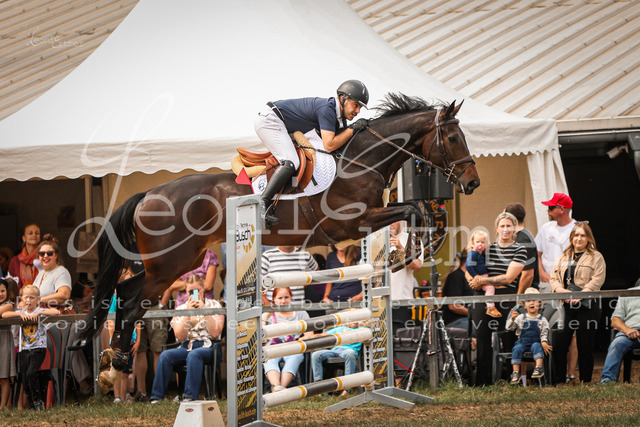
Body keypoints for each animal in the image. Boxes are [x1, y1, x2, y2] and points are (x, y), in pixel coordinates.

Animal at [83, 93, 480, 373]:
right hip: (168, 264)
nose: (473, 183)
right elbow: (413, 210)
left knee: (126, 292)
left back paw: (117, 354)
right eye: (453, 138)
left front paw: (414, 247)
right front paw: (407, 253)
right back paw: (118, 356)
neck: (359, 162)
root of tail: (148, 194)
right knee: (132, 301)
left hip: (176, 262)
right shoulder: (351, 222)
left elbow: (418, 209)